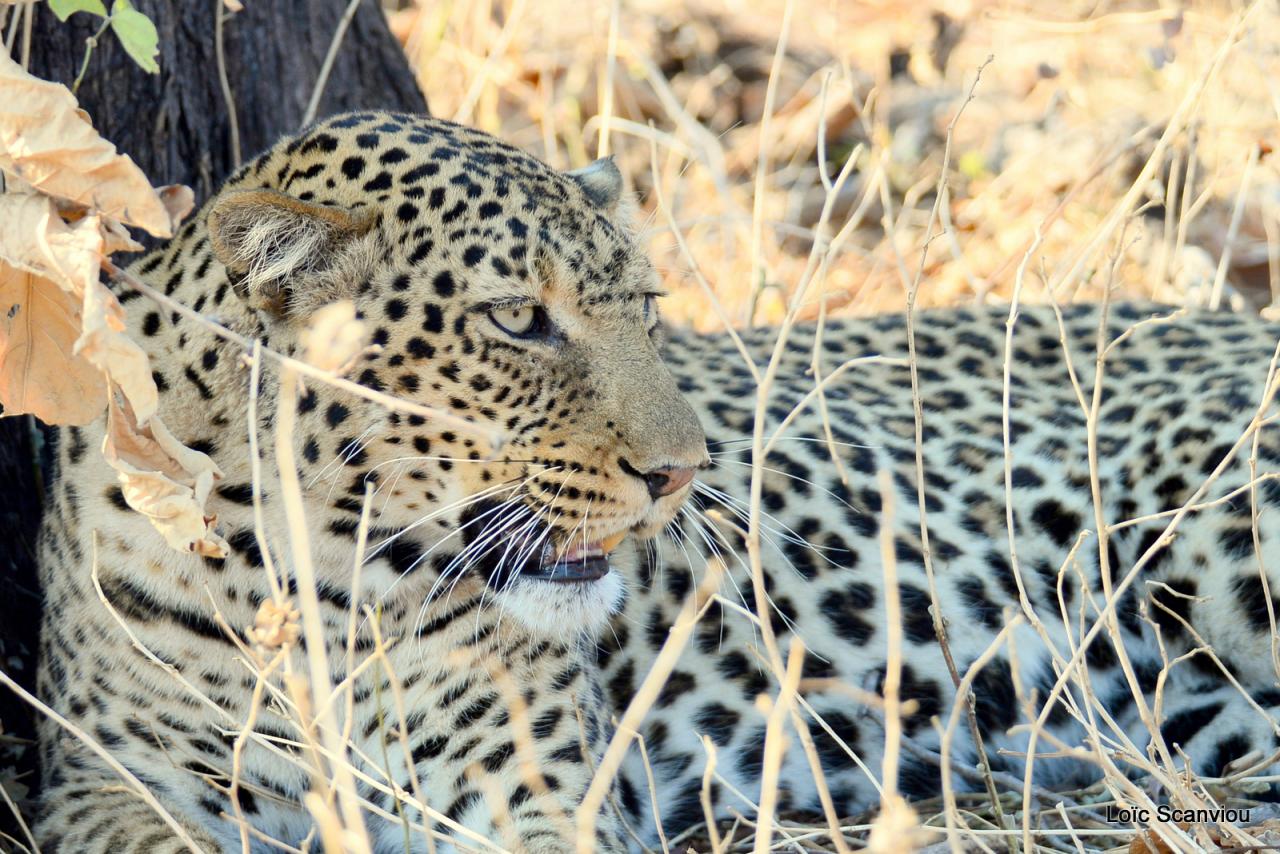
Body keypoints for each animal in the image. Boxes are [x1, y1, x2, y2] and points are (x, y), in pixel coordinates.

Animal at [27, 108, 1280, 854]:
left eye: (641, 307)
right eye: (517, 320)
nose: (680, 475)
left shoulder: (535, 786)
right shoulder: (107, 781)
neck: (313, 574)